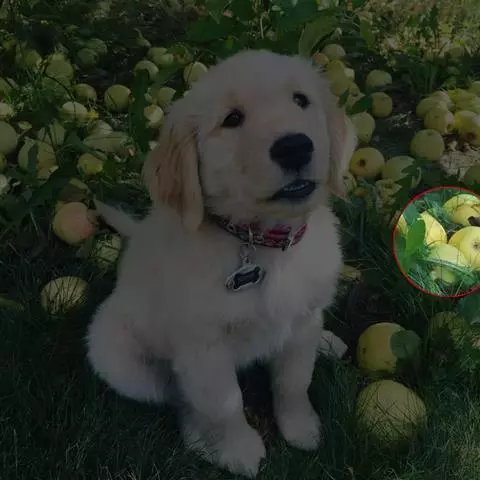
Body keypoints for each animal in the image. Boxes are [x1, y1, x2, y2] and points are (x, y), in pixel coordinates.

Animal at [86, 49, 356, 477]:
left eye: (301, 100)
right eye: (232, 119)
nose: (295, 147)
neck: (261, 243)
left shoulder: (300, 321)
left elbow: (294, 381)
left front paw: (301, 428)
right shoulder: (203, 347)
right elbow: (224, 403)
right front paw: (239, 450)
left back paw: (326, 341)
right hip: (116, 356)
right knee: (175, 394)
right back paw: (198, 436)